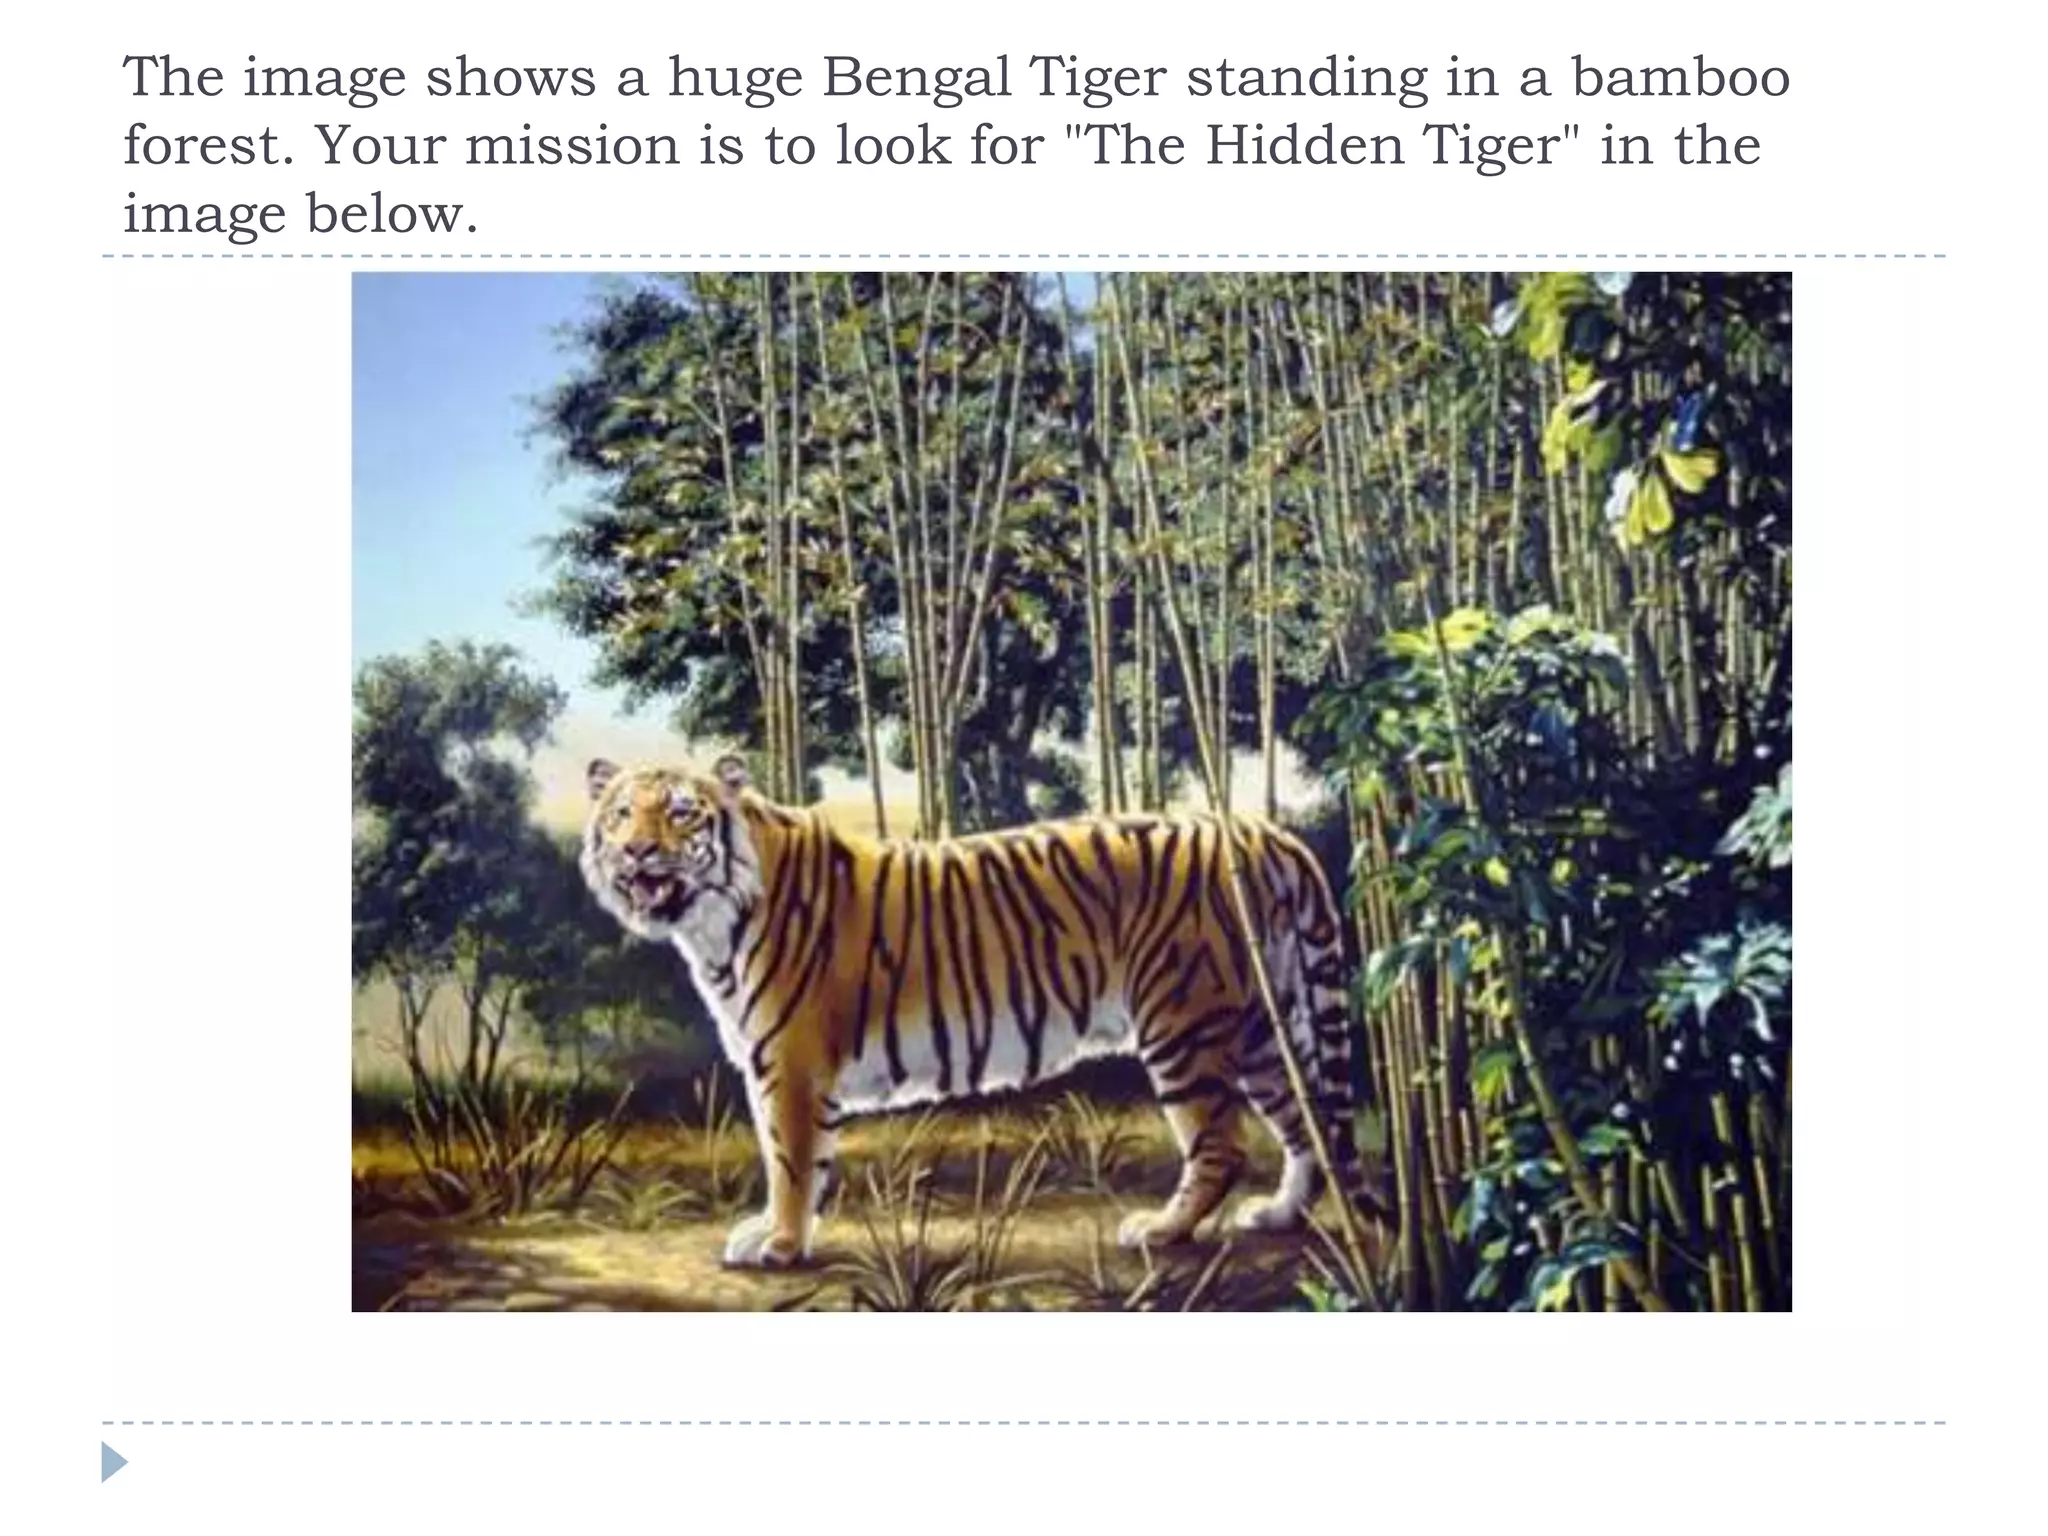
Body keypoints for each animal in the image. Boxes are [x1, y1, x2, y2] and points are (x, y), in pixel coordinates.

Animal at [581, 754, 1378, 1269]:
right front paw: (789, 1238)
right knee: (1306, 1120)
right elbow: (808, 1162)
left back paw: (1160, 1230)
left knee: (1222, 1145)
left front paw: (775, 1245)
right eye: (620, 813)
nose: (636, 852)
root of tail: (1261, 833)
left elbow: (790, 1160)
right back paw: (1278, 1214)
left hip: (1182, 1024)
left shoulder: (790, 1064)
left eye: (681, 813)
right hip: (1261, 1026)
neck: (708, 923)